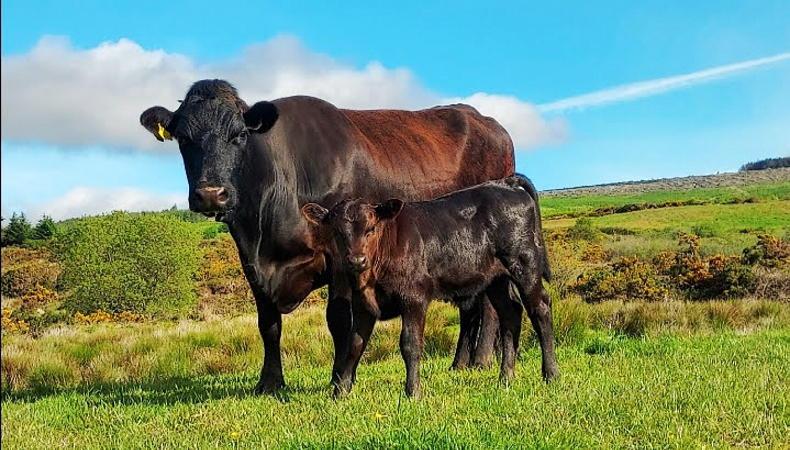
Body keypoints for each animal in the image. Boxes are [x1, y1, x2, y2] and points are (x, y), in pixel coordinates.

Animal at [139, 79, 513, 393]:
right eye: (183, 139)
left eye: (239, 135)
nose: (211, 194)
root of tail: (484, 120)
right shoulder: (250, 261)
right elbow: (268, 324)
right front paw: (270, 384)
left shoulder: (338, 255)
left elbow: (338, 319)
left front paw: (339, 378)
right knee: (470, 305)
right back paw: (460, 363)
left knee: (488, 305)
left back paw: (481, 360)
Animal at [301, 175, 558, 398]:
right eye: (337, 232)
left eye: (371, 228)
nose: (356, 260)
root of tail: (505, 183)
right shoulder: (363, 304)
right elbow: (354, 345)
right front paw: (340, 393)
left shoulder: (414, 297)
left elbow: (410, 344)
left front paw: (412, 392)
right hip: (496, 279)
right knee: (510, 315)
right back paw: (505, 378)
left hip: (524, 263)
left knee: (540, 308)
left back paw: (550, 374)